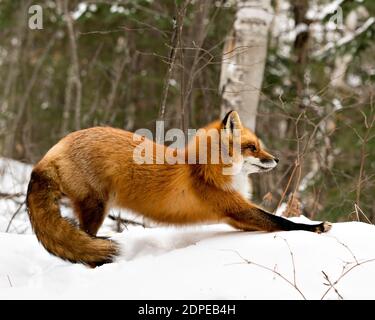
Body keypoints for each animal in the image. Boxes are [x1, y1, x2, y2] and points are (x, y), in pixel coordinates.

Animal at [26, 111, 332, 266]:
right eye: (252, 147)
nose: (277, 159)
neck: (202, 169)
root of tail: (50, 153)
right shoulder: (235, 208)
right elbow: (282, 221)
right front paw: (316, 227)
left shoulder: (235, 217)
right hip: (96, 208)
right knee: (87, 242)